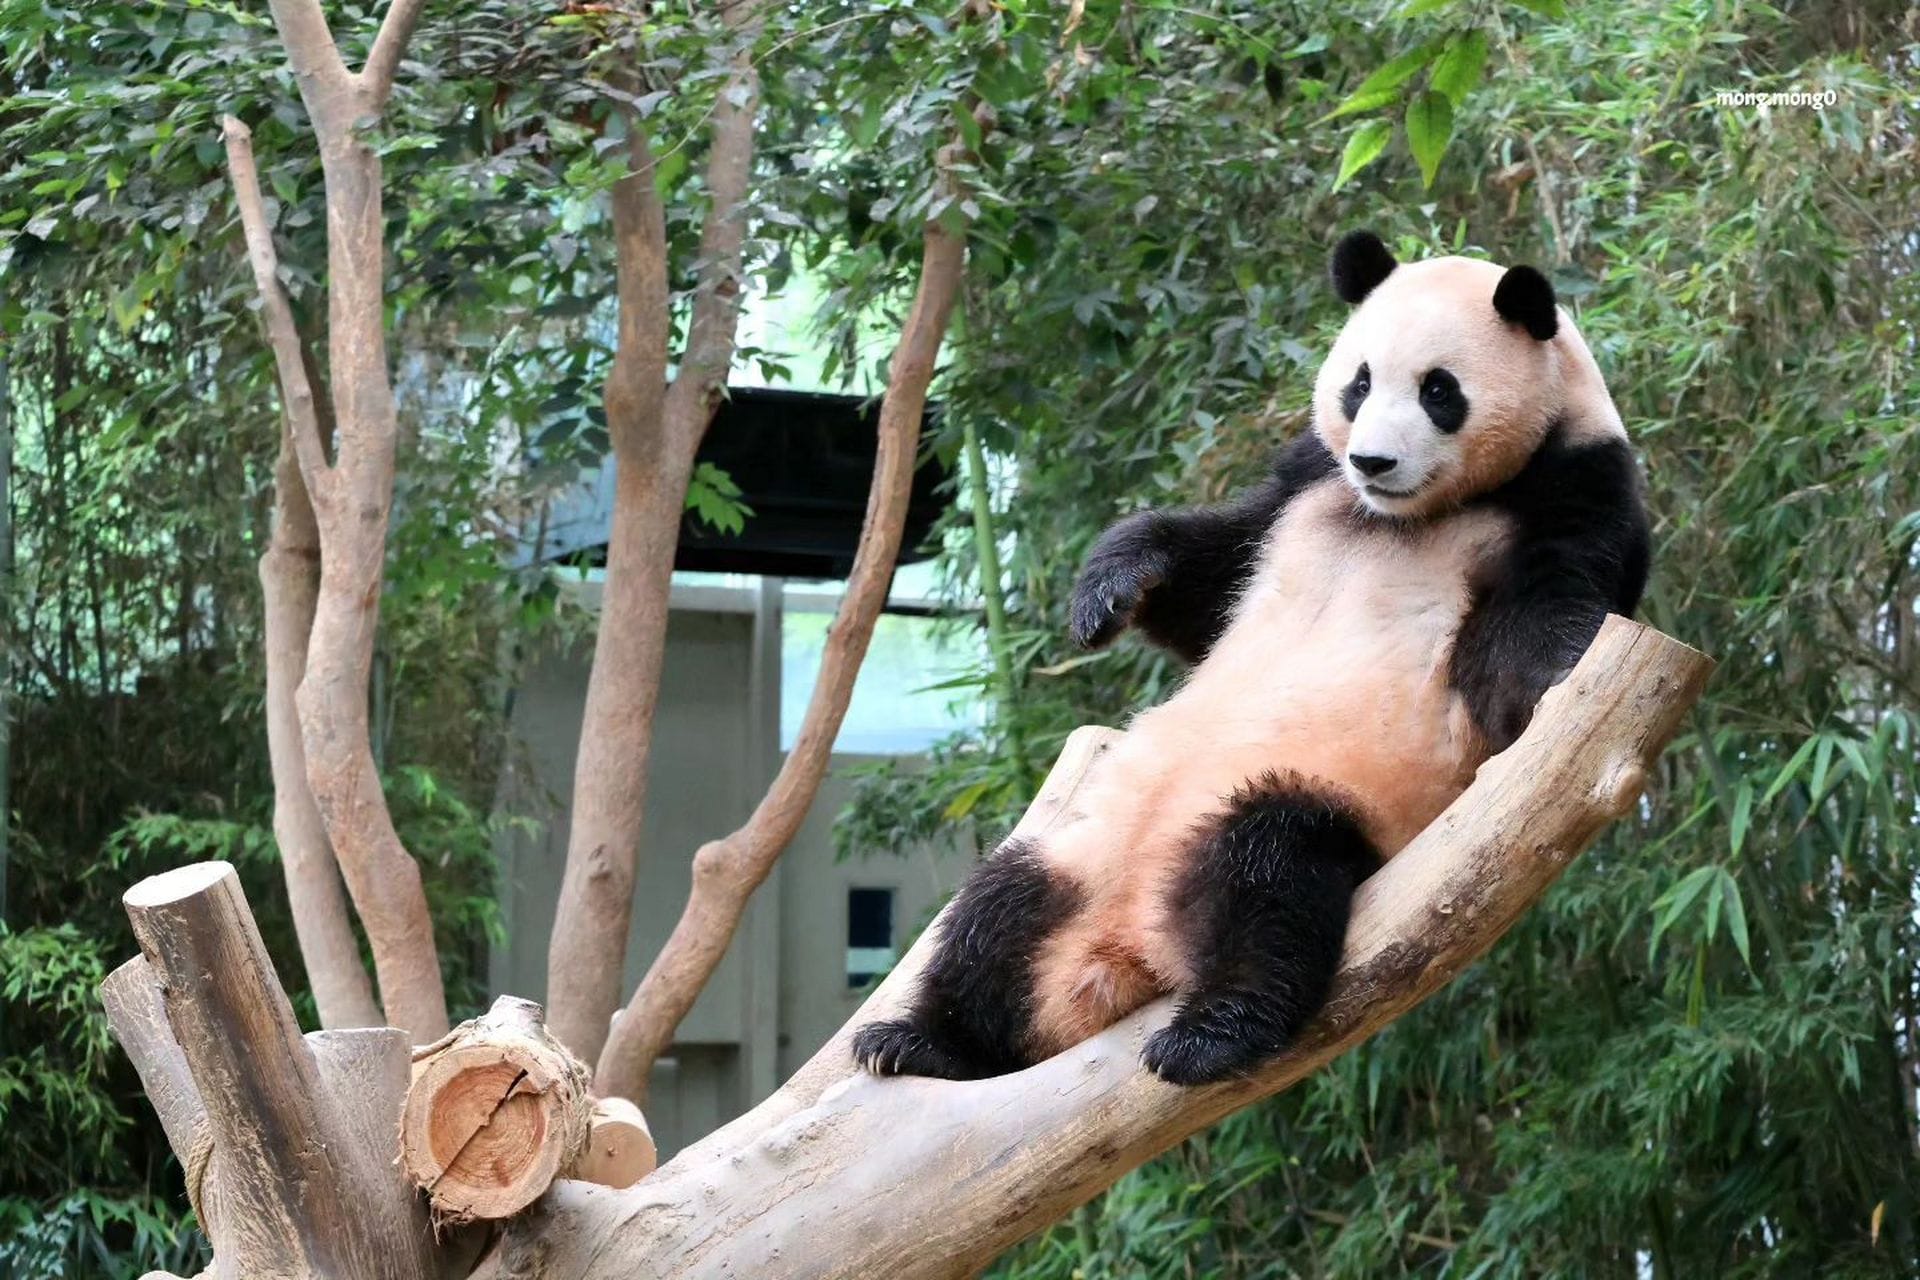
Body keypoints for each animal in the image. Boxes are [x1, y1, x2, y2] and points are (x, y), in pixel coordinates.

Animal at [853, 231, 1650, 1086]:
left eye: (1440, 390)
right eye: (1359, 383)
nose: (1373, 462)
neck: (1409, 515)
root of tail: (1130, 946)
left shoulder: (1577, 490)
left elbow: (1540, 627)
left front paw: (1562, 680)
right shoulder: (1303, 484)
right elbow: (1213, 569)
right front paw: (1106, 593)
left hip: (1310, 798)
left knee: (1268, 884)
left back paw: (1209, 1036)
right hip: (1084, 847)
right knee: (997, 906)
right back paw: (921, 1042)